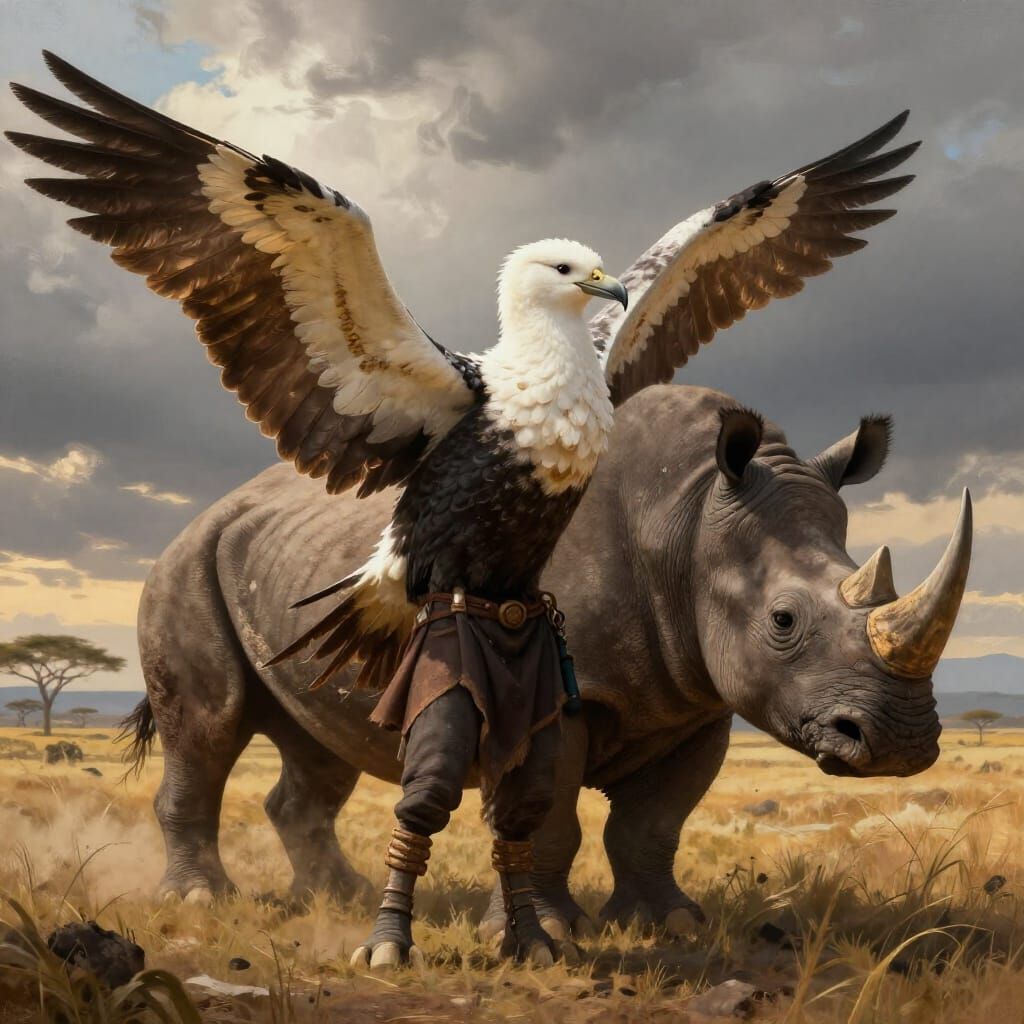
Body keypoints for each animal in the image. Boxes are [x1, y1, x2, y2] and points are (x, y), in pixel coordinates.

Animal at [127, 384, 971, 937]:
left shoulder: (698, 696)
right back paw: (200, 903)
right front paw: (549, 934)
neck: (690, 520)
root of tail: (204, 517)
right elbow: (552, 815)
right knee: (209, 728)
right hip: (183, 566)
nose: (899, 743)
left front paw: (671, 925)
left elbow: (653, 822)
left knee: (319, 746)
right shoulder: (556, 685)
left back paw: (339, 897)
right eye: (784, 621)